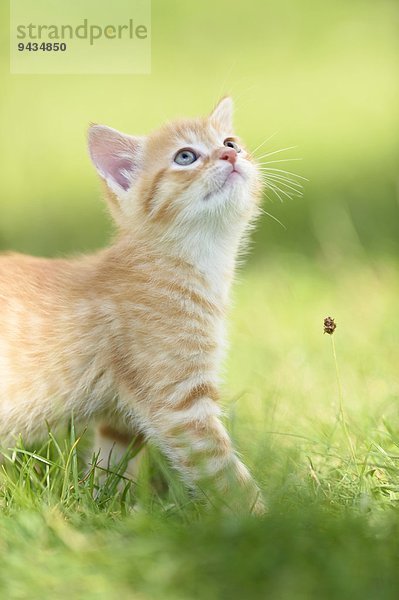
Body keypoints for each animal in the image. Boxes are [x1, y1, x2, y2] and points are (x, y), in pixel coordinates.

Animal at [0, 98, 266, 510]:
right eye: (185, 156)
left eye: (230, 142)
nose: (230, 154)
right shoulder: (180, 405)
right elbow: (223, 471)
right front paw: (269, 517)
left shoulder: (121, 417)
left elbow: (111, 466)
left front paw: (109, 510)